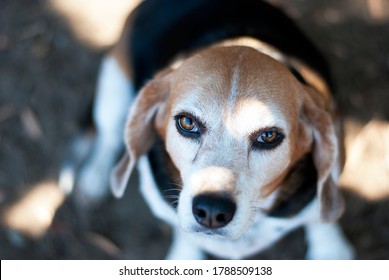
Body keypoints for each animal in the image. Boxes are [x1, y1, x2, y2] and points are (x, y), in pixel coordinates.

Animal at [67, 0, 354, 260]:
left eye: (269, 136)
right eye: (187, 123)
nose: (213, 211)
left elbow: (319, 214)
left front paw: (331, 251)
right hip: (114, 86)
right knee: (109, 137)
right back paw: (94, 178)